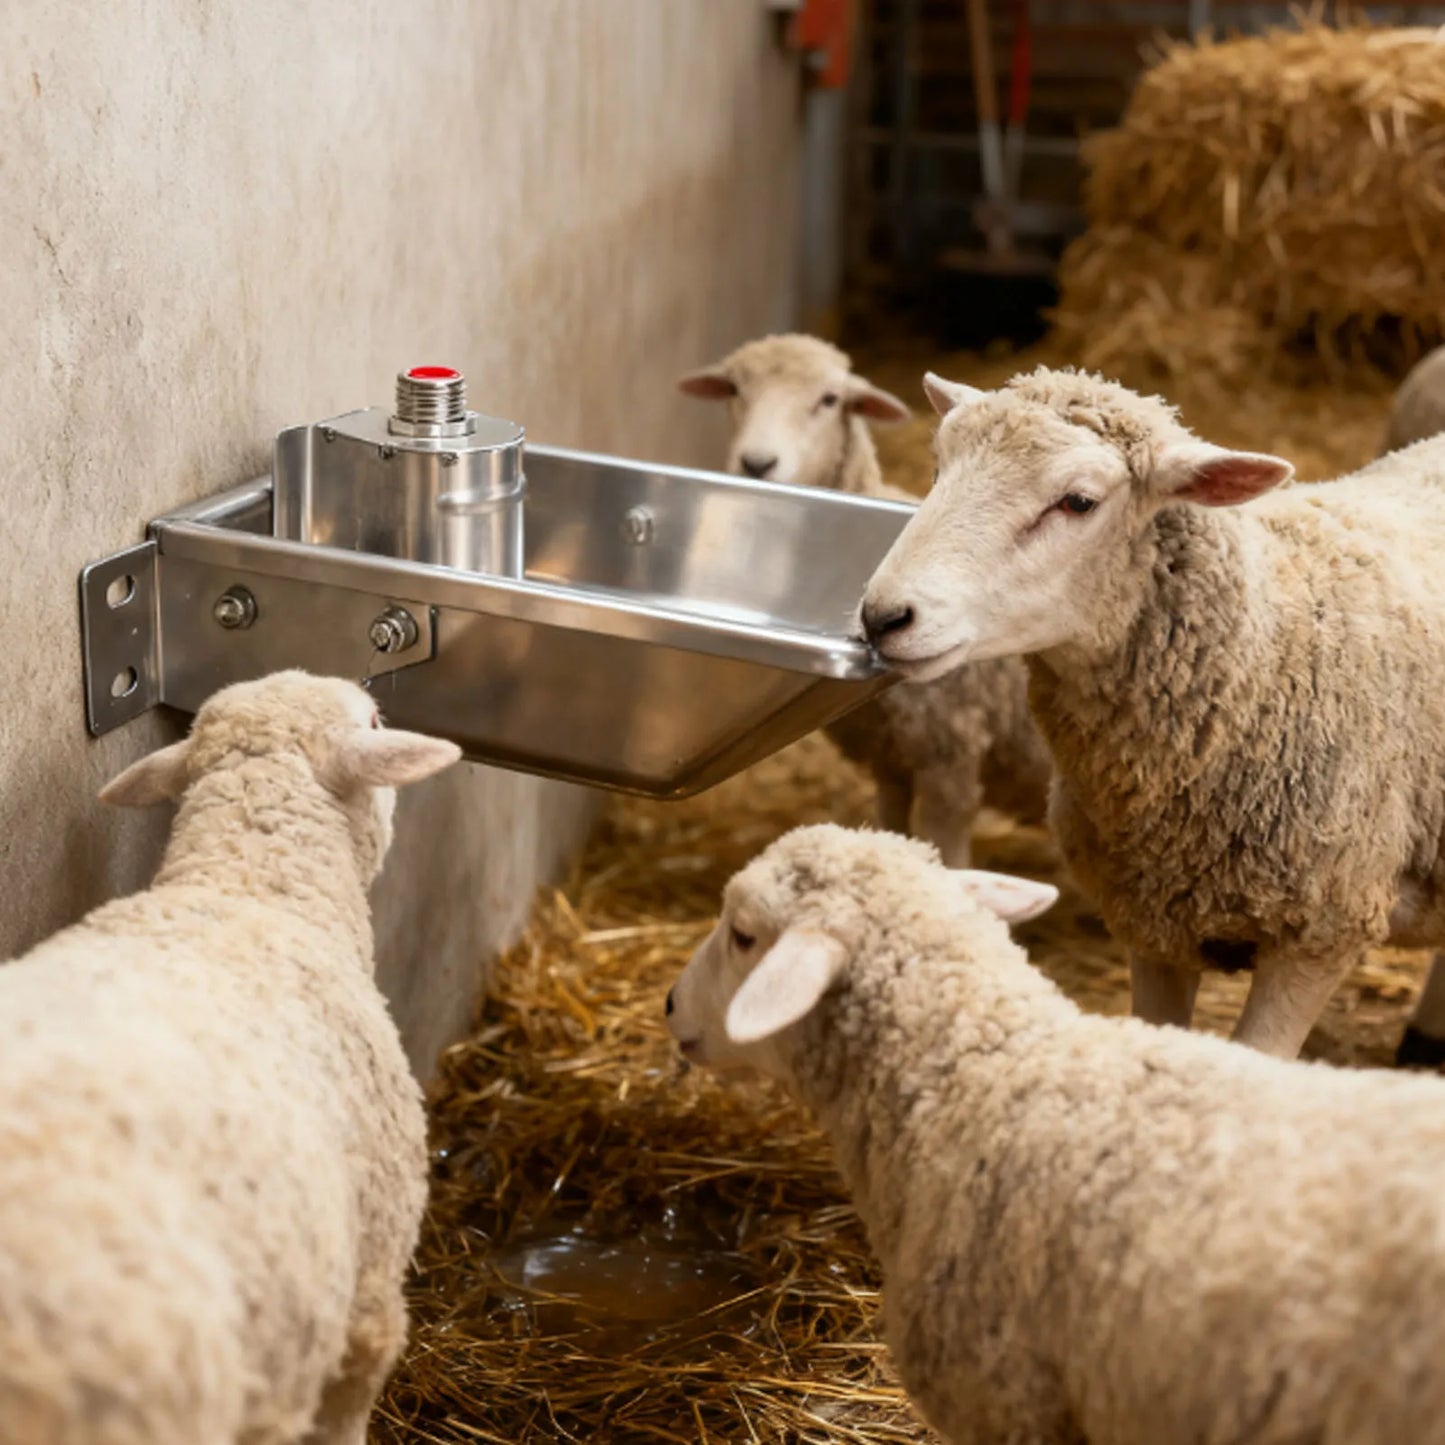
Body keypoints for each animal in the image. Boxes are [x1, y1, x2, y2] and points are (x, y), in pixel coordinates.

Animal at [679, 333, 1050, 865]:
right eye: (733, 389)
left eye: (829, 400)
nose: (756, 464)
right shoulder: (889, 760)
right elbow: (889, 831)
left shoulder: (951, 755)